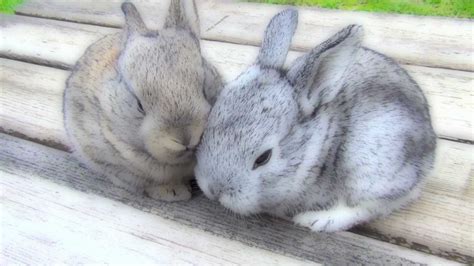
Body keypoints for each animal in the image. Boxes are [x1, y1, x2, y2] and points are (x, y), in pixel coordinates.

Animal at [195, 9, 436, 232]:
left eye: (263, 158)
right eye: (206, 131)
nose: (214, 190)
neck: (317, 151)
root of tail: (429, 158)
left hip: (368, 166)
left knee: (371, 206)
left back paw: (317, 220)